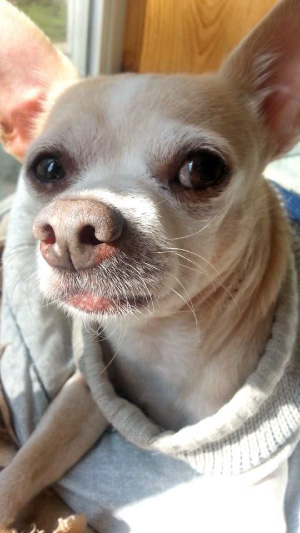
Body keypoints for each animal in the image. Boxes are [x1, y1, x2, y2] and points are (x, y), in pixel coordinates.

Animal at [0, 0, 298, 528]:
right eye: (47, 169)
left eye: (202, 169)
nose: (72, 229)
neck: (158, 340)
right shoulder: (84, 395)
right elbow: (26, 463)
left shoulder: (258, 486)